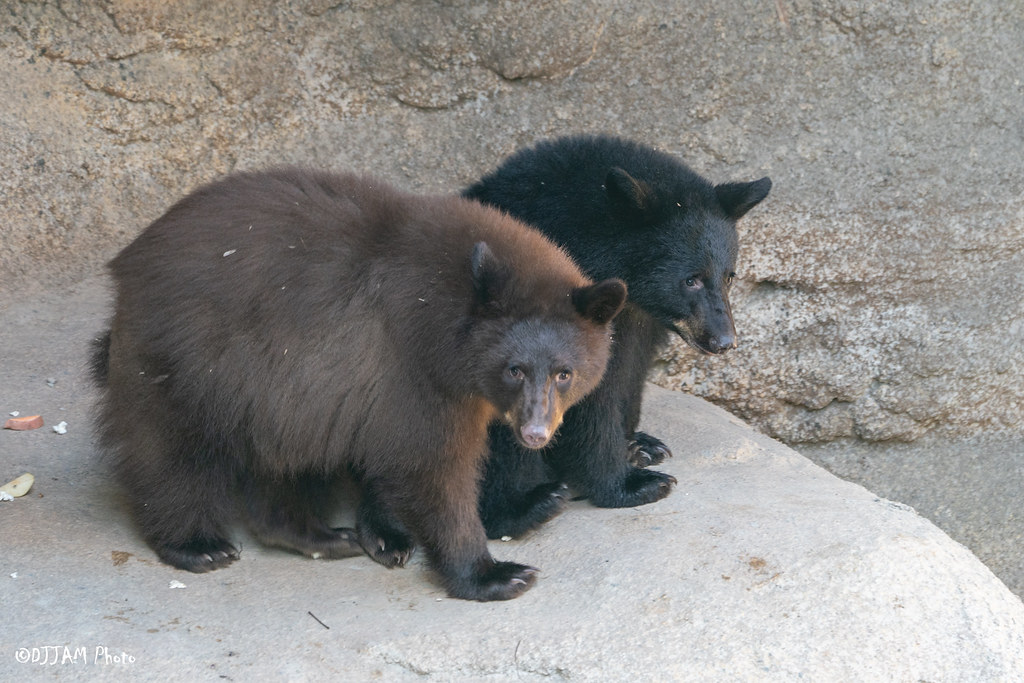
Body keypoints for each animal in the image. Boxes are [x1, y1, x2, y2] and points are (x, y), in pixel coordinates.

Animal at [90, 167, 626, 601]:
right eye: (514, 369)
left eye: (564, 373)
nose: (536, 433)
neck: (451, 321)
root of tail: (128, 263)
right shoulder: (414, 363)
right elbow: (434, 466)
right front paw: (496, 573)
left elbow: (390, 454)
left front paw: (385, 534)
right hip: (187, 358)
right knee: (170, 451)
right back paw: (197, 545)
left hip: (270, 392)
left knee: (280, 461)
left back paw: (323, 536)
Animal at [461, 134, 771, 538]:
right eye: (691, 279)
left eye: (729, 276)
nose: (723, 342)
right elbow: (588, 395)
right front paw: (631, 483)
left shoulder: (638, 319)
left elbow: (629, 369)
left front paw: (639, 445)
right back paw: (526, 505)